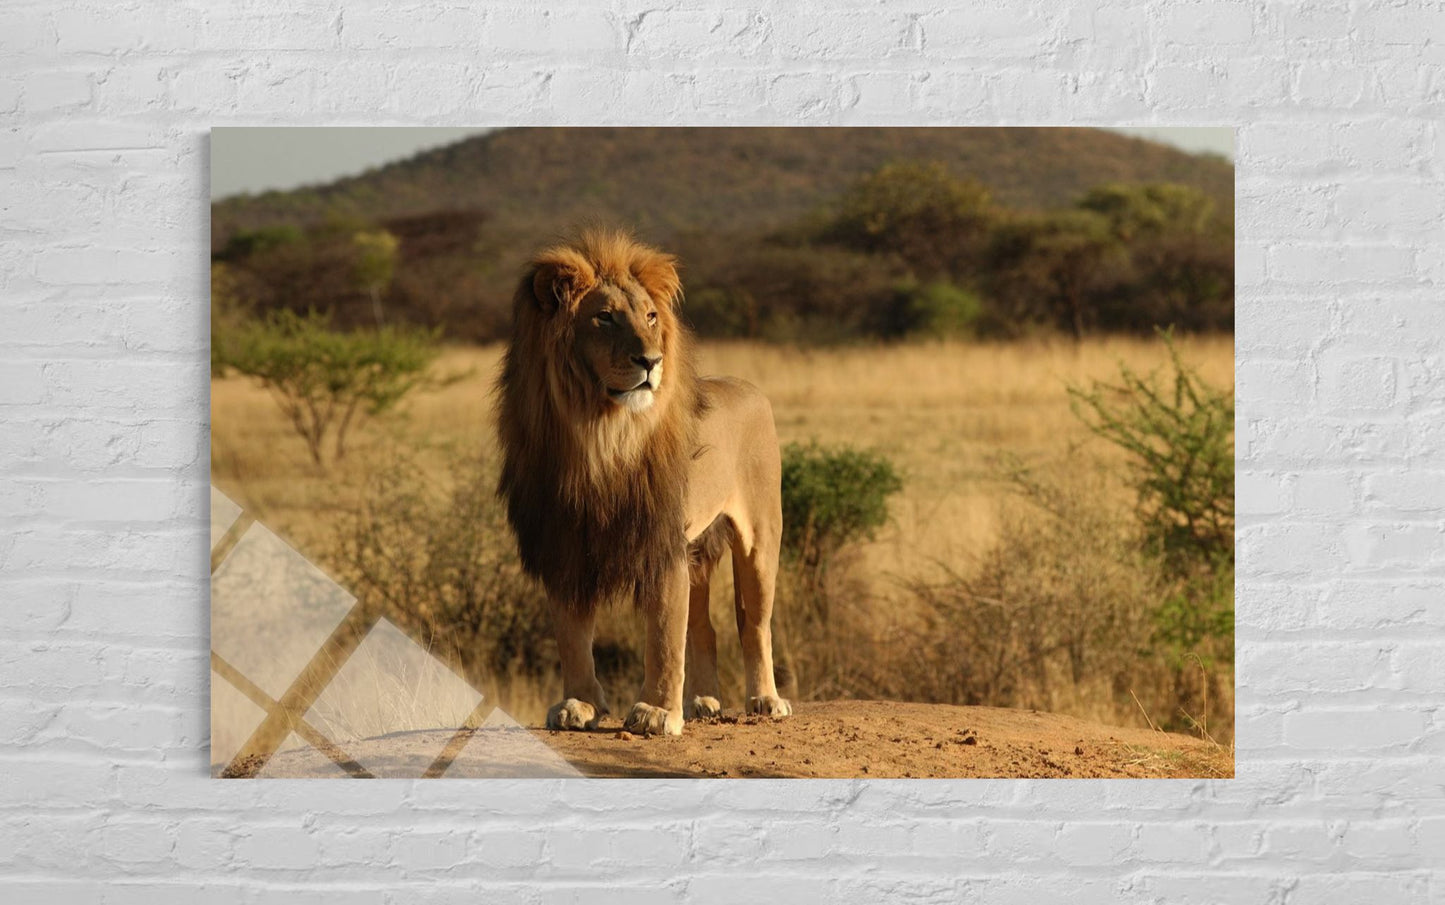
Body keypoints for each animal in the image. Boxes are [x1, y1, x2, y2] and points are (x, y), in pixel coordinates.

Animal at [495, 228, 792, 737]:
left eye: (651, 317)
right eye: (605, 317)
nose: (651, 361)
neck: (600, 435)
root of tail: (750, 387)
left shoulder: (661, 542)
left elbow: (664, 635)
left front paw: (655, 712)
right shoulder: (564, 544)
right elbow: (572, 635)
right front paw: (579, 704)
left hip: (760, 538)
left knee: (754, 624)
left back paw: (765, 700)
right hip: (698, 551)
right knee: (705, 627)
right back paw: (703, 702)